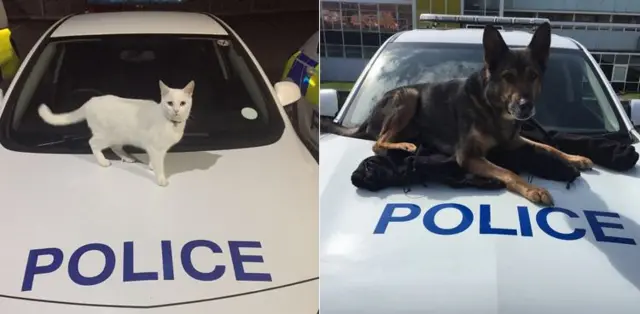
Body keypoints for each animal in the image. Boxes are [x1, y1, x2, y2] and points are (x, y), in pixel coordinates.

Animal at [38, 79, 194, 186]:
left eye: (182, 103)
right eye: (170, 103)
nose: (176, 110)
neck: (171, 123)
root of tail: (90, 101)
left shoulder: (159, 149)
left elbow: (154, 161)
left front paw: (151, 166)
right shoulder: (155, 148)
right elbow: (159, 165)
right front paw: (161, 179)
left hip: (119, 136)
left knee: (115, 147)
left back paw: (127, 157)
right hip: (106, 136)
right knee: (92, 143)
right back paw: (103, 162)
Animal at [322, 21, 592, 204]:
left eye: (533, 76)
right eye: (508, 77)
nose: (526, 106)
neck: (491, 107)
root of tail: (368, 117)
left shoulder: (514, 140)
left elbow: (549, 147)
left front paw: (575, 157)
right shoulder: (469, 156)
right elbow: (507, 171)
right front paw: (532, 189)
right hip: (408, 97)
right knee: (378, 142)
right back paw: (405, 145)